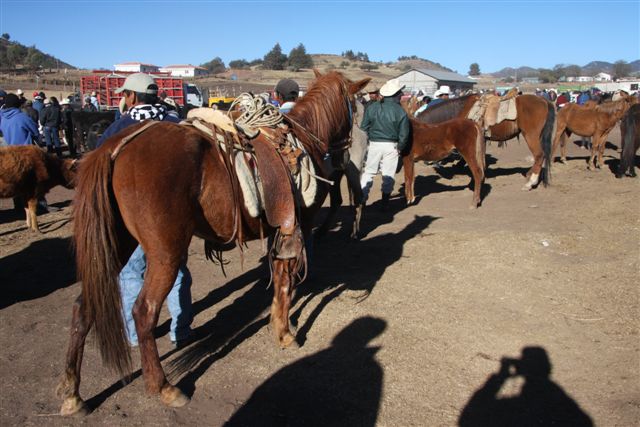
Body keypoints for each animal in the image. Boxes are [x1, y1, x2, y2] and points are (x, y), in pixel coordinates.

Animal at [59, 70, 370, 414]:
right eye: (356, 105)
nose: (348, 155)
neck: (303, 140)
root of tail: (114, 147)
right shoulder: (295, 226)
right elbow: (286, 282)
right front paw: (285, 333)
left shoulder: (279, 230)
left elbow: (278, 279)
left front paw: (277, 324)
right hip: (165, 253)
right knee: (143, 312)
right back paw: (163, 386)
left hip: (118, 246)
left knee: (83, 308)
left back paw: (73, 393)